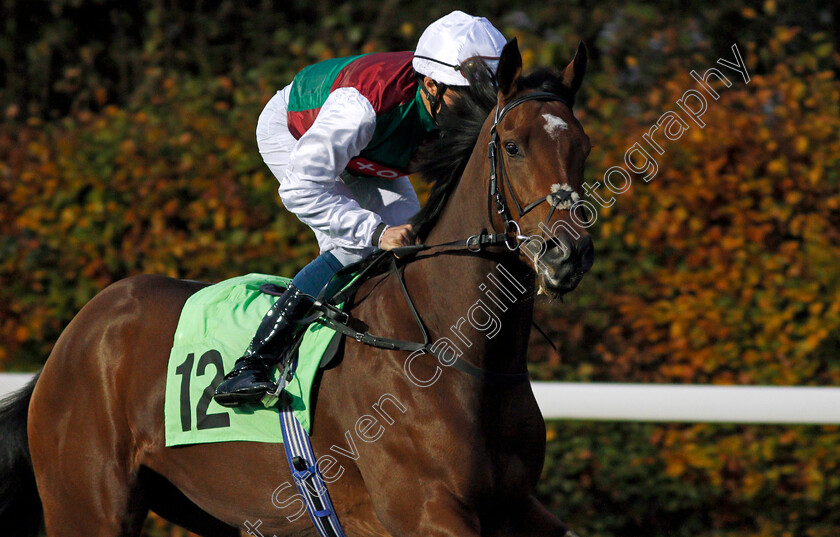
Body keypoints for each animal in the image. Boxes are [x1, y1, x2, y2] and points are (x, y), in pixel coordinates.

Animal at [1, 39, 592, 532]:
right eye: (512, 146)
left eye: (583, 146)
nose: (567, 253)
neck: (454, 352)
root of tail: (75, 337)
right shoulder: (424, 510)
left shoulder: (516, 505)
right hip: (88, 505)